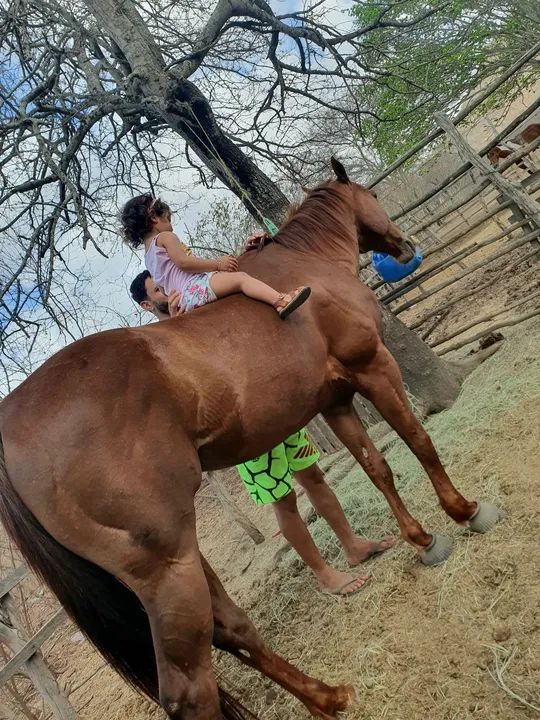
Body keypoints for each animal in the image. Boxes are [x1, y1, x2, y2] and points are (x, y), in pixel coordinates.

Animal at [0, 158, 503, 719]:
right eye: (370, 195)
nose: (402, 246)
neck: (306, 268)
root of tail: (10, 431)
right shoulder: (373, 365)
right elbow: (416, 438)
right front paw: (464, 511)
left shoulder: (335, 399)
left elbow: (377, 467)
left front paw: (421, 539)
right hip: (169, 571)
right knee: (189, 689)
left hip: (180, 559)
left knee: (232, 629)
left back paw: (328, 696)